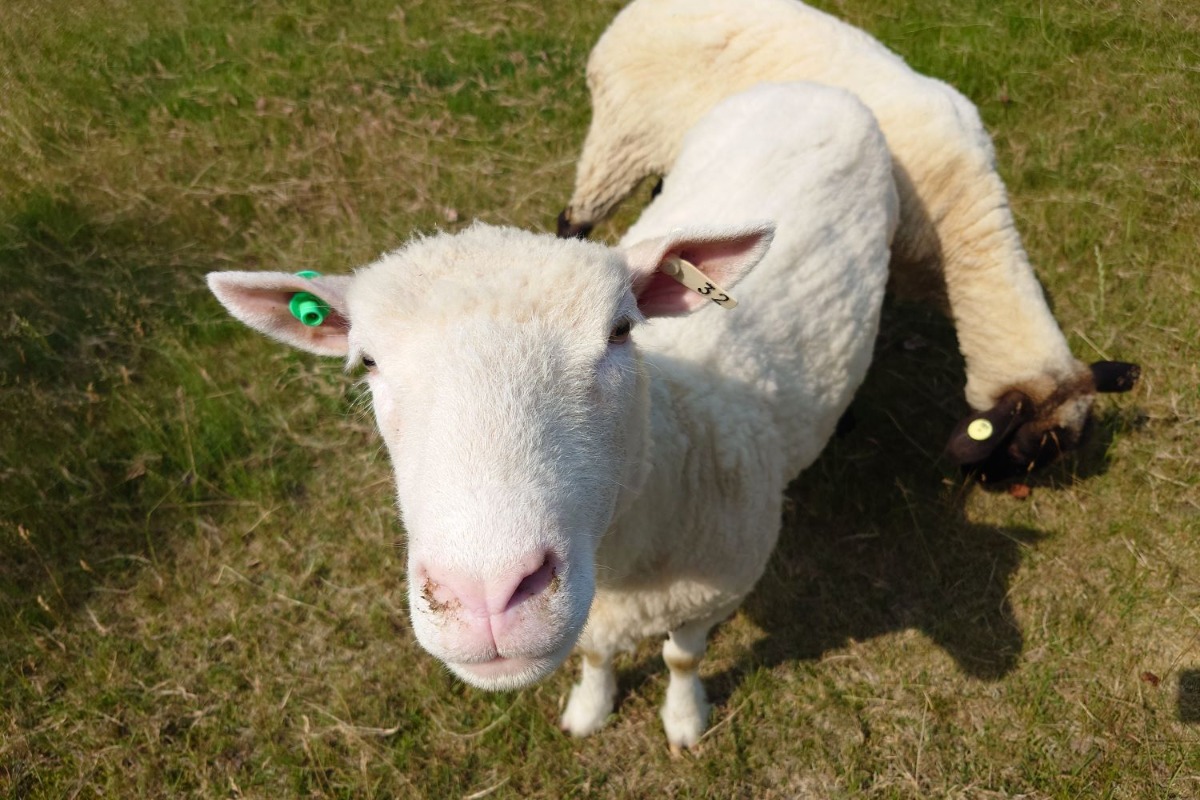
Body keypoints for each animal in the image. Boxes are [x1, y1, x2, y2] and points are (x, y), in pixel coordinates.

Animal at [208, 82, 902, 753]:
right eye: (368, 362)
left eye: (621, 331)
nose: (485, 598)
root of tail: (815, 86)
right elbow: (594, 655)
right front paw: (589, 710)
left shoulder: (716, 591)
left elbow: (682, 659)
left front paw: (684, 720)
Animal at [556, 0, 1137, 479]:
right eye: (1019, 449)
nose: (994, 486)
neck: (966, 231)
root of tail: (638, 9)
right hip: (620, 140)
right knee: (573, 217)